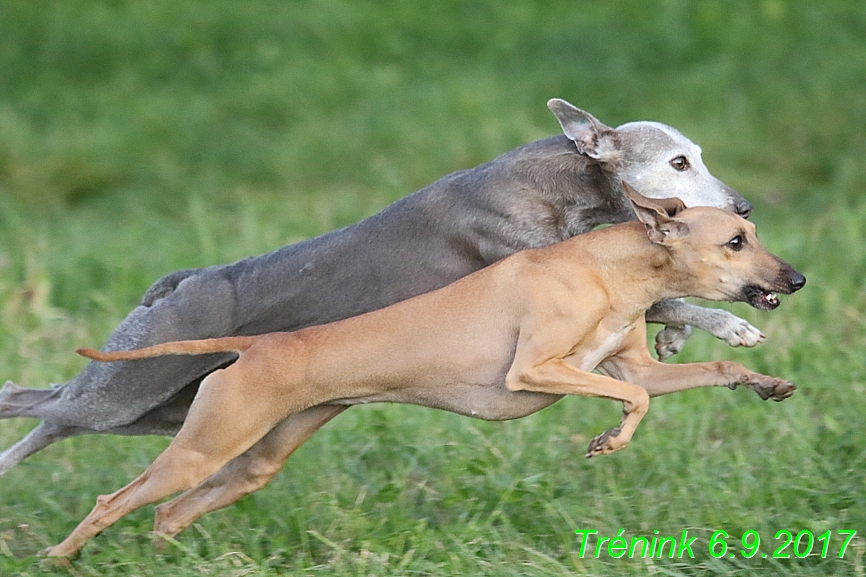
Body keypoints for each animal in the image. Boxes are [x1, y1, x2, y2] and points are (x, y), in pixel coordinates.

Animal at [0, 100, 756, 476]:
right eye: (679, 162)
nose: (745, 205)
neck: (563, 179)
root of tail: (178, 285)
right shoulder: (520, 255)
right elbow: (669, 295)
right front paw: (728, 324)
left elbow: (659, 299)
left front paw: (680, 332)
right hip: (127, 389)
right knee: (38, 404)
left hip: (166, 405)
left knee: (44, 411)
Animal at [45, 186, 804, 560]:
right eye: (735, 241)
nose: (796, 279)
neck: (609, 266)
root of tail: (257, 346)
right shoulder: (535, 370)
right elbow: (629, 401)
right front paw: (610, 439)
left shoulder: (637, 369)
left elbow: (710, 367)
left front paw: (766, 384)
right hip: (202, 450)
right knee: (113, 502)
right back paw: (58, 557)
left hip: (252, 460)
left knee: (167, 513)